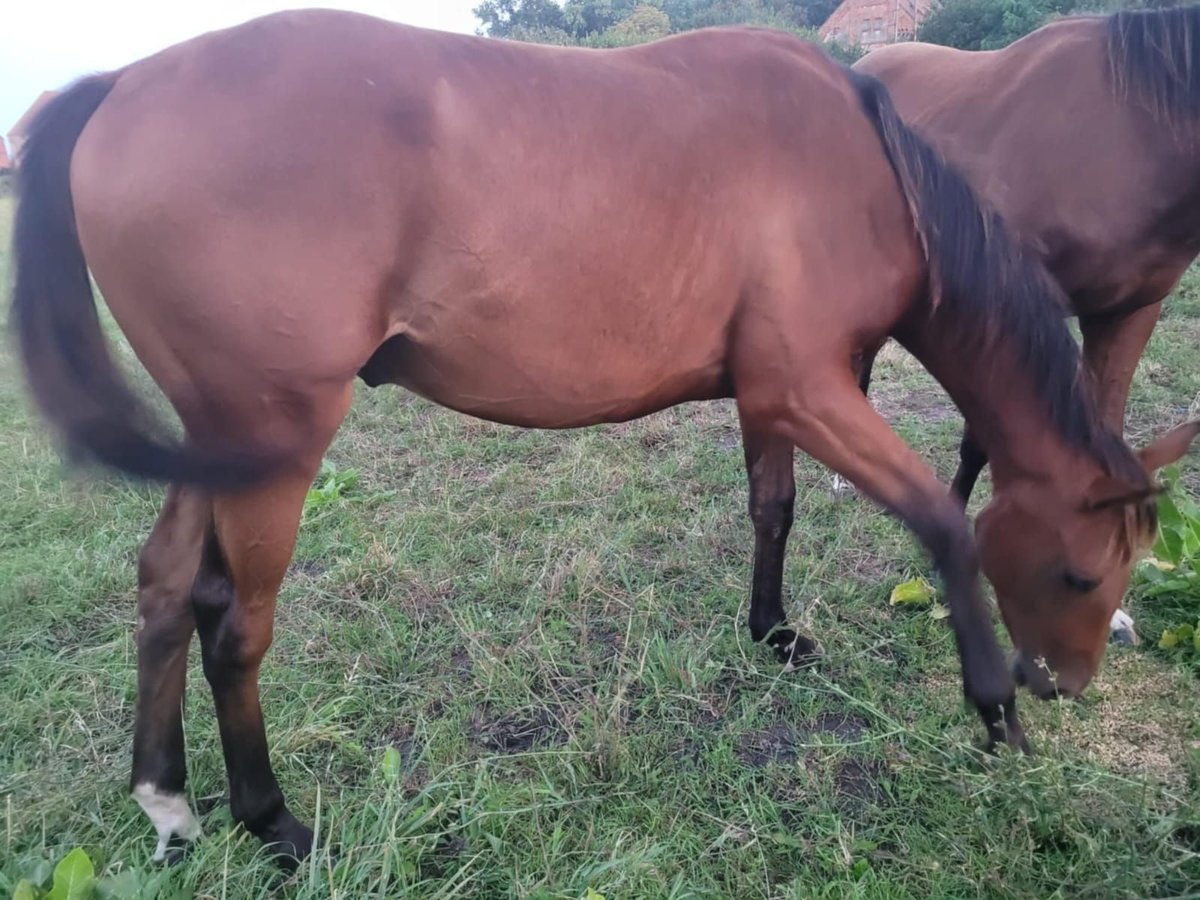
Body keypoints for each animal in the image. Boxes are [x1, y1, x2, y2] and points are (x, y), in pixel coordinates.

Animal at [9, 12, 1190, 868]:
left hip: (216, 442)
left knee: (168, 588)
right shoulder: (812, 387)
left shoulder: (775, 392)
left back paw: (166, 798)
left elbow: (774, 505)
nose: (1065, 684)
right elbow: (942, 523)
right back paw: (272, 820)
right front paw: (993, 712)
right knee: (234, 626)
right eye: (1084, 576)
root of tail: (123, 83)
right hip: (274, 442)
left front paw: (772, 632)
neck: (865, 168)